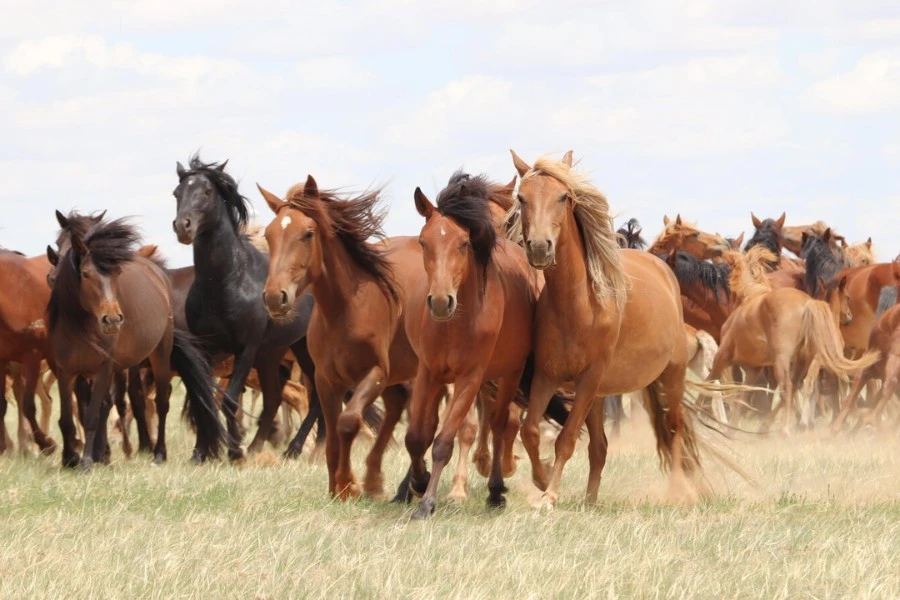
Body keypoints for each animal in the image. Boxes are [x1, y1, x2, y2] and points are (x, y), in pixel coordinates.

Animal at [45, 213, 223, 466]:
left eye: (117, 274)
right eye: (85, 274)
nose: (111, 319)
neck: (80, 327)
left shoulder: (104, 368)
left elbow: (93, 414)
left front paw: (90, 460)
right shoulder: (66, 371)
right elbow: (68, 418)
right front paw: (70, 458)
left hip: (159, 356)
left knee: (161, 402)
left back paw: (158, 453)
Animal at [256, 178, 418, 502]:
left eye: (308, 233)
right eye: (269, 234)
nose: (275, 297)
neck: (346, 309)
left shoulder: (375, 373)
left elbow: (348, 422)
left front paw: (347, 484)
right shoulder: (326, 379)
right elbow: (331, 433)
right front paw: (338, 486)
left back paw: (406, 488)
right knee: (396, 407)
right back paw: (375, 481)